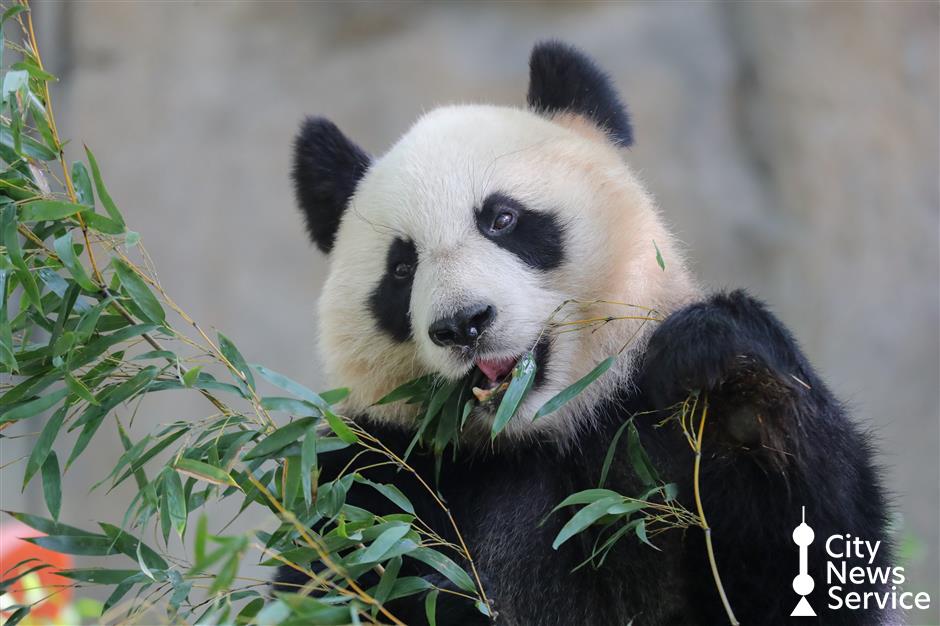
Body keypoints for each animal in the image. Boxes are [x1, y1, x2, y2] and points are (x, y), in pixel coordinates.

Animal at [277, 42, 895, 626]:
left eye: (502, 218)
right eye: (402, 267)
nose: (463, 323)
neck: (542, 428)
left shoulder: (647, 429)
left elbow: (810, 569)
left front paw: (735, 393)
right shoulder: (371, 472)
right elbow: (341, 580)